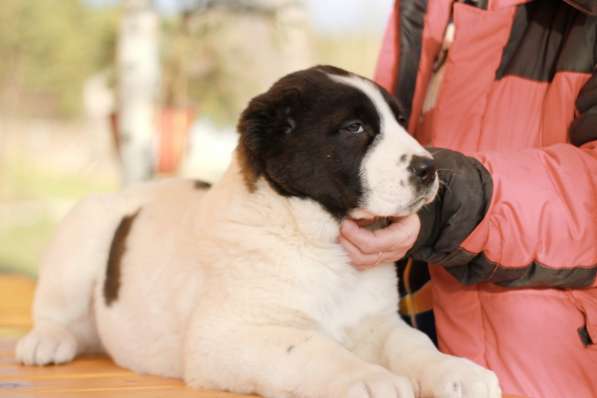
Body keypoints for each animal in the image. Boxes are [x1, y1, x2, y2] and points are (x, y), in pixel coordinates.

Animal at [15, 66, 498, 398]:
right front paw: (367, 378)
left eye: (400, 121)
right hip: (82, 232)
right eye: (354, 128)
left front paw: (457, 371)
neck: (319, 244)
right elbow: (311, 347)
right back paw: (46, 342)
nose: (429, 169)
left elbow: (413, 343)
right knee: (55, 311)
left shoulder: (375, 321)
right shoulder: (226, 337)